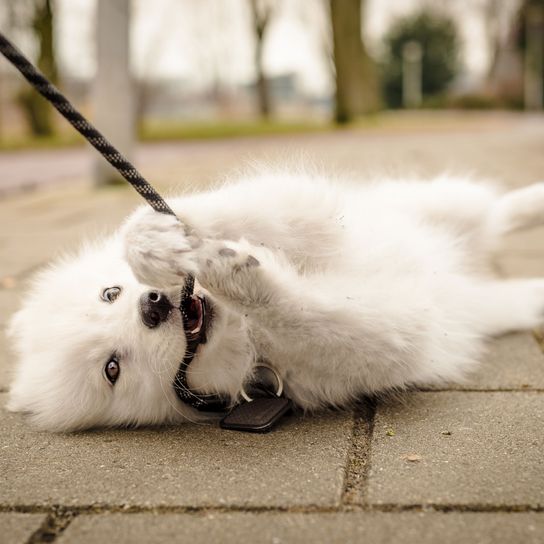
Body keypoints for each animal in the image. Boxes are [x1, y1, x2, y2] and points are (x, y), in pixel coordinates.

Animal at [5, 172, 544, 432]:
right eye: (112, 368)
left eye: (110, 293)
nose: (153, 304)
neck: (241, 334)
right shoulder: (390, 337)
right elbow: (309, 315)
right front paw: (239, 275)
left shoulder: (310, 214)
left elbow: (259, 213)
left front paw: (161, 241)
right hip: (484, 300)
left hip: (437, 204)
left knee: (495, 211)